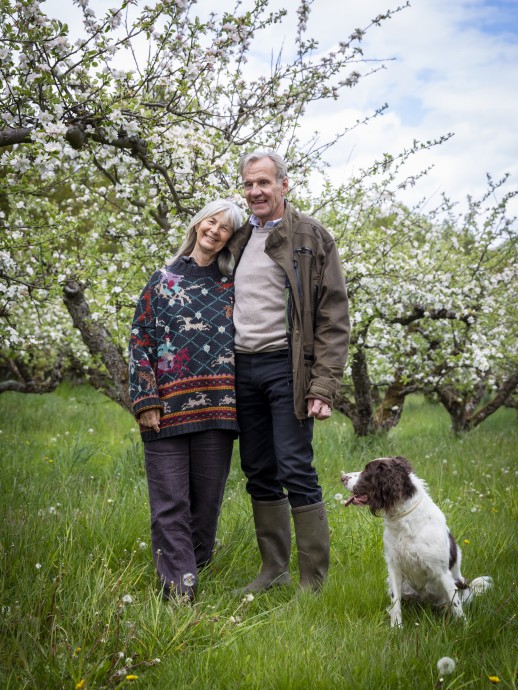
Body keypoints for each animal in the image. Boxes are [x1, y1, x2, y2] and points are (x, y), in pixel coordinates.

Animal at [342, 456, 496, 624]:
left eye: (367, 471)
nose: (342, 477)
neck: (404, 519)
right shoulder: (394, 567)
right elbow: (395, 601)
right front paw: (396, 626)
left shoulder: (442, 572)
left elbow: (456, 604)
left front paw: (464, 626)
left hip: (458, 585)